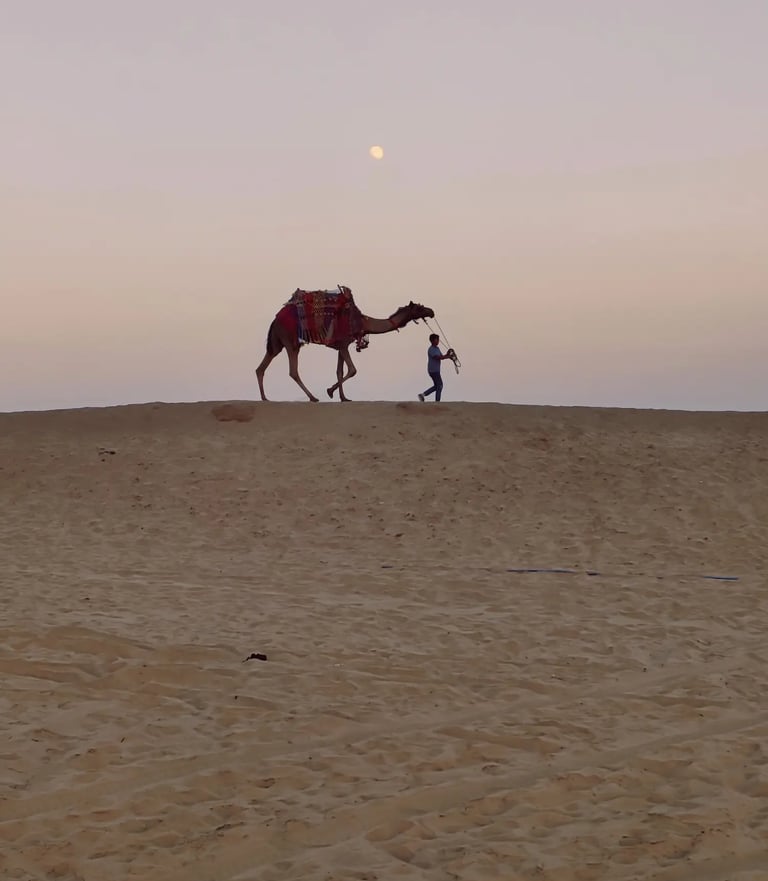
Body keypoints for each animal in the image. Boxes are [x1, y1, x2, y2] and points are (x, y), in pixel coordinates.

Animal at [255, 297, 435, 402]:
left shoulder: (341, 346)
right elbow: (352, 370)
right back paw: (313, 397)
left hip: (277, 342)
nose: (432, 311)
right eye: (419, 307)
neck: (363, 322)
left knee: (261, 367)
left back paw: (264, 398)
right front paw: (330, 391)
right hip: (291, 341)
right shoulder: (343, 344)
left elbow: (340, 371)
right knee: (293, 371)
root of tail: (275, 320)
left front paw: (343, 397)